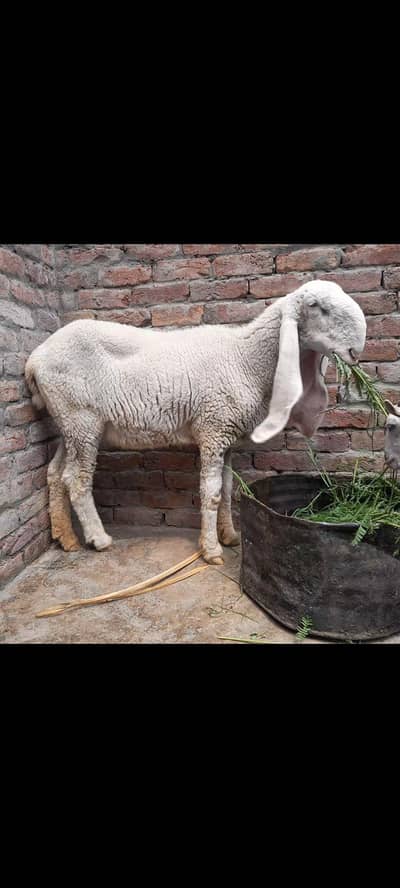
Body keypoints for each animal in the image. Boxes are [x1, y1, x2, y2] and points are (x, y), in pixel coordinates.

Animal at [25, 279, 366, 565]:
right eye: (316, 306)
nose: (356, 350)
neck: (245, 358)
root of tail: (35, 359)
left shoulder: (228, 438)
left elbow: (227, 489)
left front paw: (229, 536)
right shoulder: (214, 429)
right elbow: (212, 493)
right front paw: (211, 550)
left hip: (69, 424)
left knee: (55, 473)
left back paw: (66, 537)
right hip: (81, 418)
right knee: (76, 480)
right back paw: (99, 538)